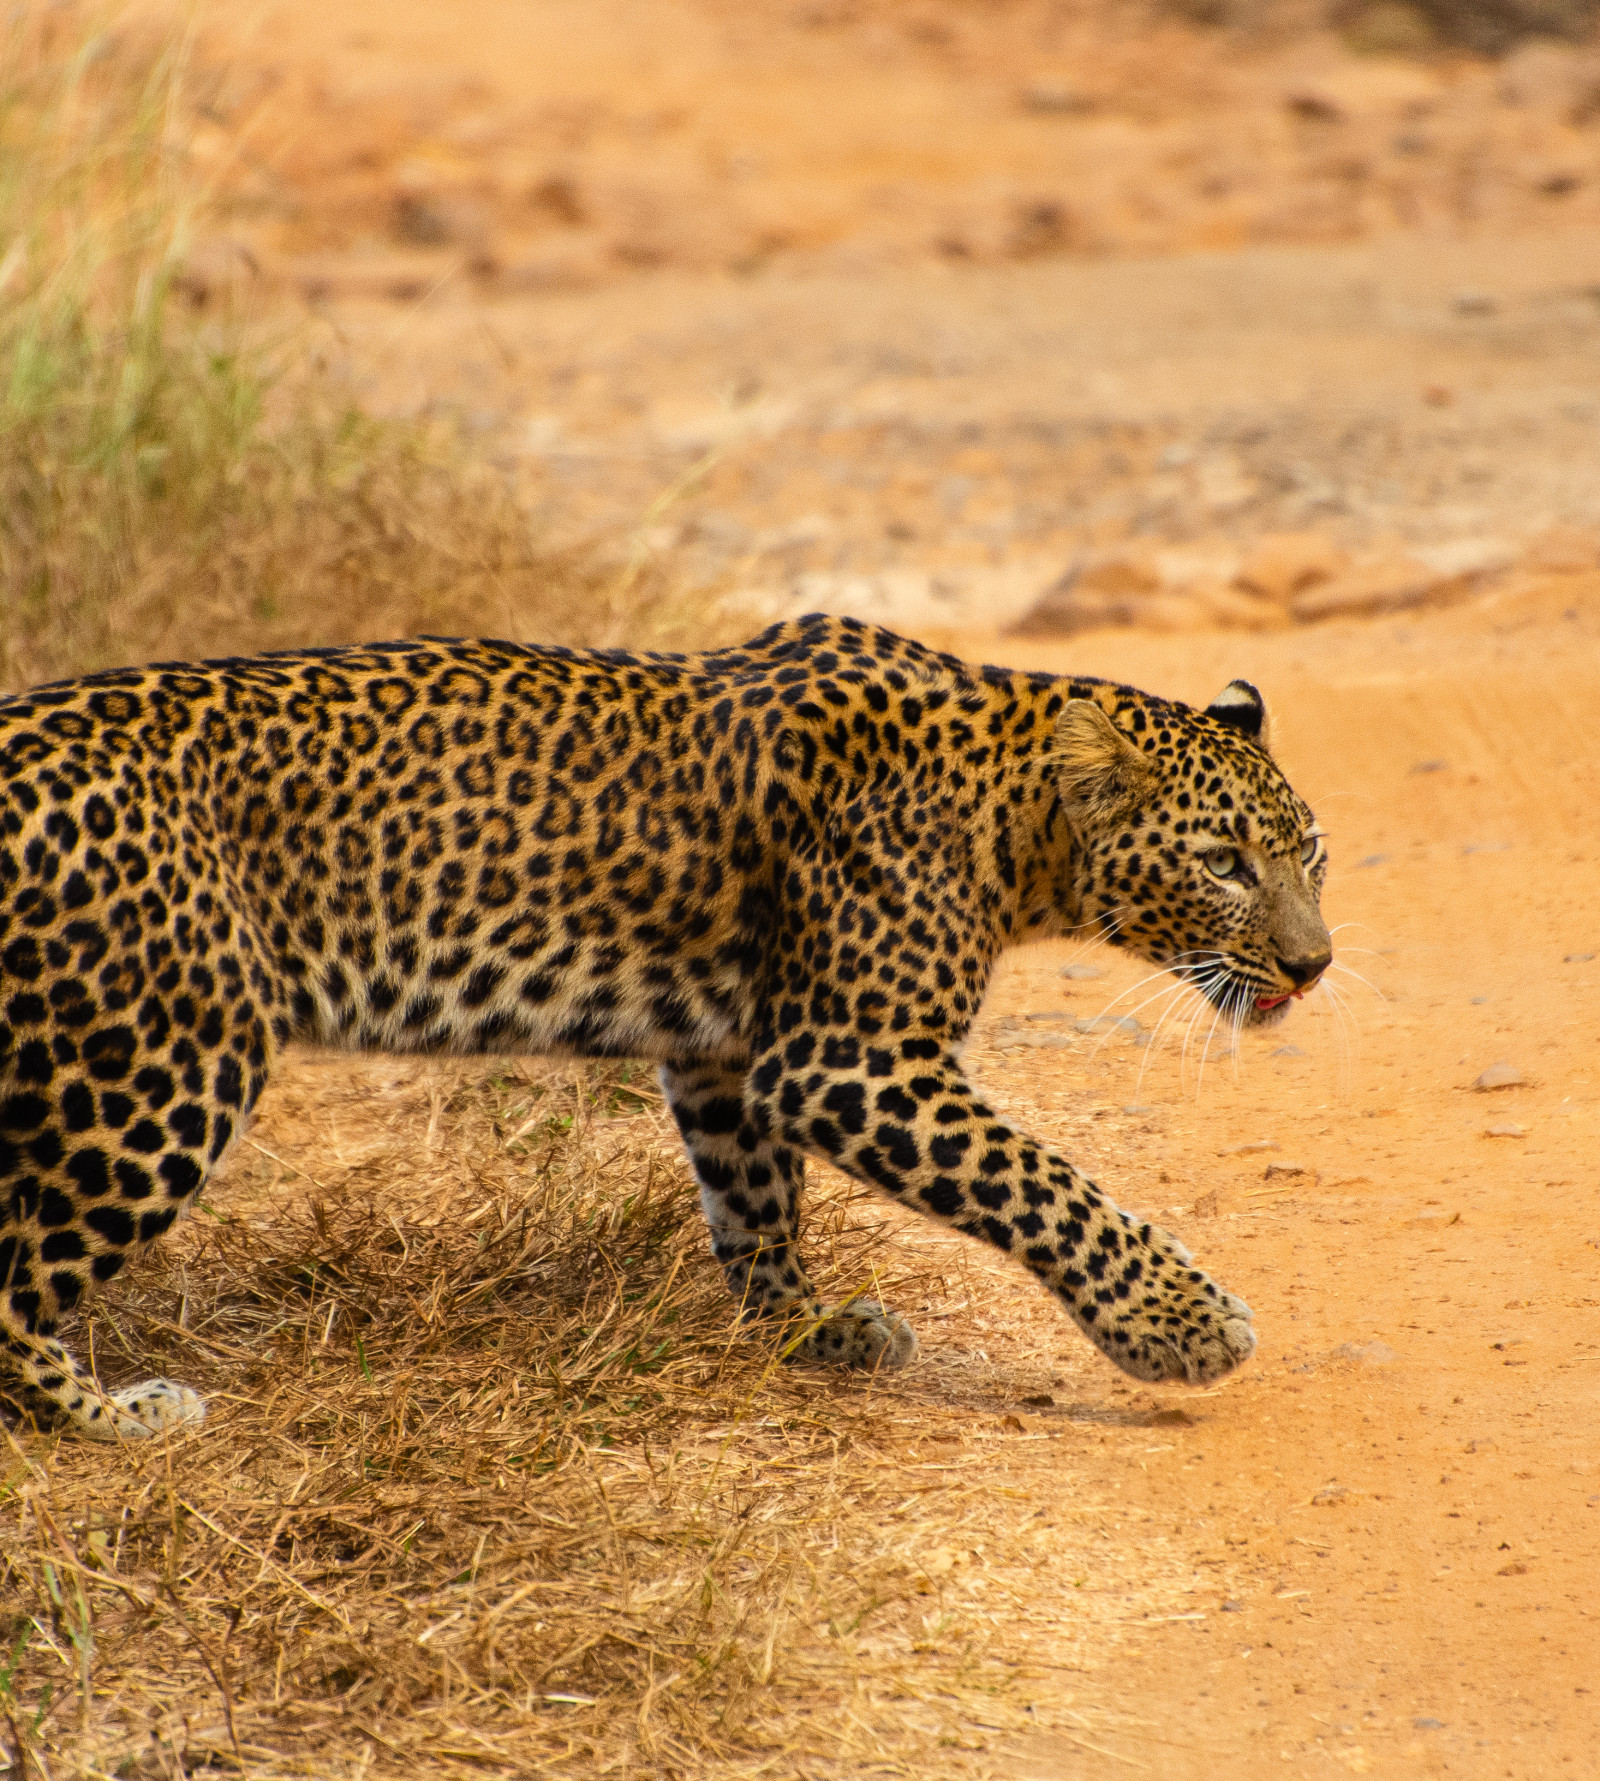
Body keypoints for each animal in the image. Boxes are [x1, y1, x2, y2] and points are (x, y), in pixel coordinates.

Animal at [0, 609, 1325, 1431]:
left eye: (1307, 850)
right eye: (1222, 861)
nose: (1312, 964)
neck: (1016, 820)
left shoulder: (731, 1056)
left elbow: (756, 1204)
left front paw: (809, 1329)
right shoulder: (851, 1060)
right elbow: (1043, 1183)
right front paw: (1183, 1326)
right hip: (165, 1062)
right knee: (19, 1276)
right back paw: (112, 1415)